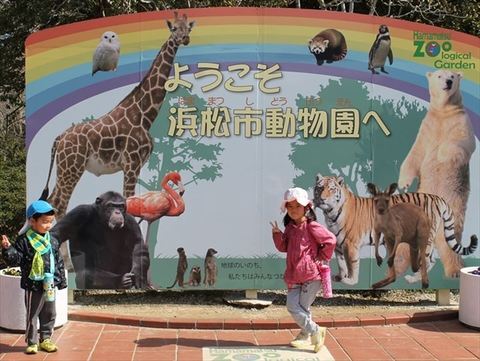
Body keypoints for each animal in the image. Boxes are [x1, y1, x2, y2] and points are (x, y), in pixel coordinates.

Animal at [42, 12, 195, 218]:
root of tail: (58, 139)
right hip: (71, 167)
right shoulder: (131, 163)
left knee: (52, 201)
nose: (184, 39)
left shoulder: (136, 165)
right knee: (59, 203)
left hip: (65, 168)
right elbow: (129, 202)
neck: (145, 116)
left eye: (188, 28)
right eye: (174, 29)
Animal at [316, 173, 476, 286]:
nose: (322, 199)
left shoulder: (351, 243)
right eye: (319, 188)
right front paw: (340, 277)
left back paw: (412, 279)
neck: (330, 214)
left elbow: (352, 264)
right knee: (431, 260)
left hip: (425, 236)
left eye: (331, 189)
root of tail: (437, 198)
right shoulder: (338, 243)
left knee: (427, 260)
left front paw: (351, 281)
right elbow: (341, 263)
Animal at [398, 69, 476, 276]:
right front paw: (403, 184)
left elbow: (462, 142)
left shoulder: (461, 122)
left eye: (453, 76)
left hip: (454, 205)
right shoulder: (427, 128)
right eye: (440, 76)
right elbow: (415, 155)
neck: (444, 112)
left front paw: (441, 153)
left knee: (451, 240)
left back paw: (455, 270)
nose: (448, 82)